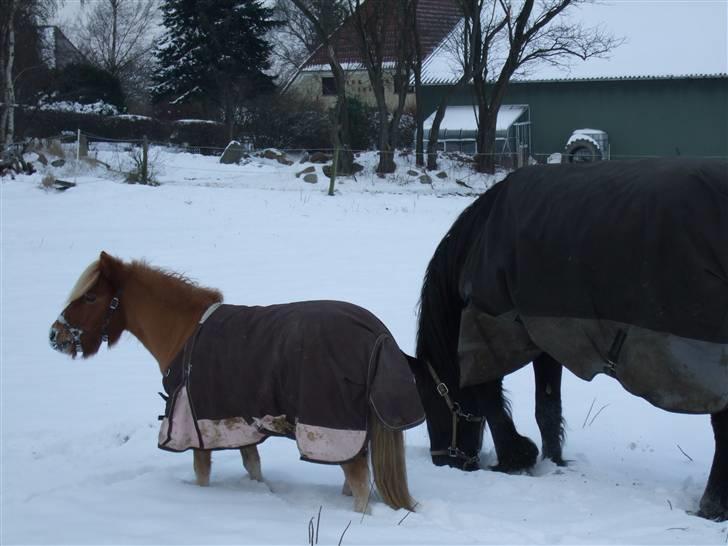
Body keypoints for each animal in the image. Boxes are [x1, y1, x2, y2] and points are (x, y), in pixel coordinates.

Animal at [48, 249, 416, 512]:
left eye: (91, 297)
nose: (55, 335)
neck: (184, 332)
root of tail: (377, 335)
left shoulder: (196, 426)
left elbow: (202, 475)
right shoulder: (236, 423)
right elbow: (252, 465)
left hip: (335, 430)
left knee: (359, 486)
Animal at [412, 157, 728, 520]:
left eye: (428, 400)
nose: (444, 462)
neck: (479, 239)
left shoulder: (491, 330)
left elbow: (488, 394)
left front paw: (514, 458)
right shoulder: (546, 334)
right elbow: (547, 407)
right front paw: (553, 463)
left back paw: (711, 506)